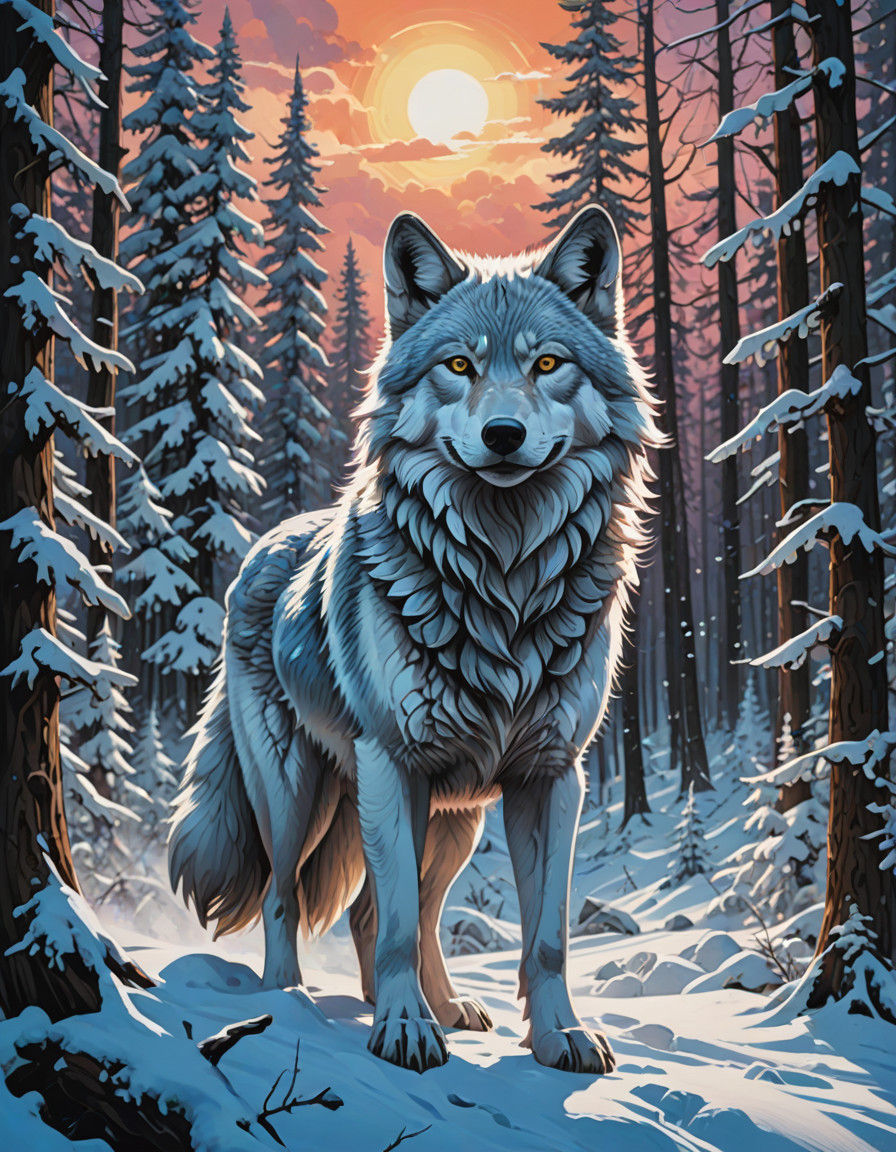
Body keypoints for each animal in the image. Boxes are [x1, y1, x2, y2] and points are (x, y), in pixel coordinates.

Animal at [169, 205, 661, 1075]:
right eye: (459, 365)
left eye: (547, 364)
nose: (503, 434)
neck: (503, 579)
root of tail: (263, 544)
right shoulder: (393, 763)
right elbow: (393, 922)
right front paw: (401, 1031)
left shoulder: (551, 777)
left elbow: (545, 938)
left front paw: (558, 1036)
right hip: (299, 796)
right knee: (291, 897)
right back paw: (293, 1002)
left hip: (455, 819)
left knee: (396, 911)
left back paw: (443, 1008)